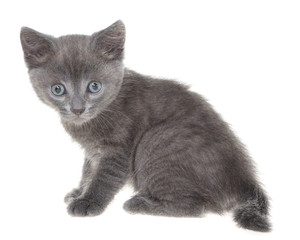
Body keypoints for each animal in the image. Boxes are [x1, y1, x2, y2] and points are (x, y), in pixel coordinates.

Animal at [19, 21, 270, 232]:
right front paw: (79, 192)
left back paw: (139, 203)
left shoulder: (119, 149)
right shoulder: (93, 151)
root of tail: (243, 179)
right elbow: (88, 170)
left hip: (155, 141)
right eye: (58, 89)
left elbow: (104, 177)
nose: (77, 109)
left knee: (195, 206)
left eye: (94, 86)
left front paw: (88, 202)